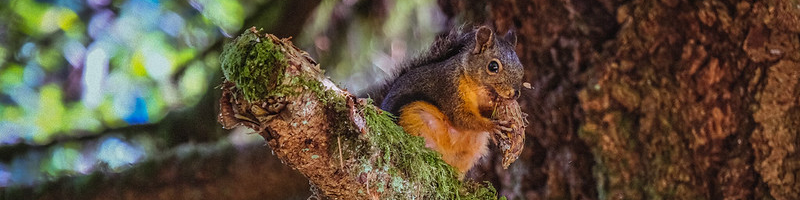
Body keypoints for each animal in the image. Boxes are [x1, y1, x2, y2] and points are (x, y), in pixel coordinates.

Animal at [362, 25, 524, 175]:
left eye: (521, 69)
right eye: (493, 66)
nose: (515, 93)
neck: (477, 89)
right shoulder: (449, 89)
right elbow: (461, 118)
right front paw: (493, 126)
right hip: (415, 115)